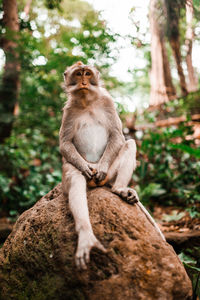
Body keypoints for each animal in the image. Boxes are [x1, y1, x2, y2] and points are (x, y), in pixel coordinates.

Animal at [59, 61, 166, 270]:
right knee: (74, 176)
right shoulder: (68, 109)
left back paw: (119, 189)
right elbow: (65, 144)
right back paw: (86, 235)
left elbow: (117, 135)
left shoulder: (107, 102)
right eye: (78, 74)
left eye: (87, 73)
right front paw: (85, 168)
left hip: (110, 174)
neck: (86, 102)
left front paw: (100, 169)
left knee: (130, 144)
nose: (83, 82)